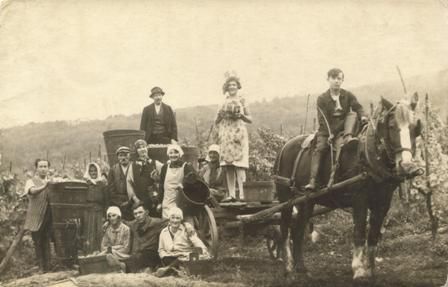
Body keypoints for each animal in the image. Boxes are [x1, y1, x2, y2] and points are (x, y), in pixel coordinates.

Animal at [274, 94, 426, 284]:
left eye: (414, 128)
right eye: (391, 126)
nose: (407, 166)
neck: (368, 154)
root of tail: (285, 146)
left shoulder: (383, 202)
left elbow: (373, 235)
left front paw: (371, 270)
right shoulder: (359, 199)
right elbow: (359, 232)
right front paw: (358, 270)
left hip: (306, 201)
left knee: (298, 230)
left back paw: (301, 268)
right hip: (286, 198)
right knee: (285, 230)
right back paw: (288, 269)